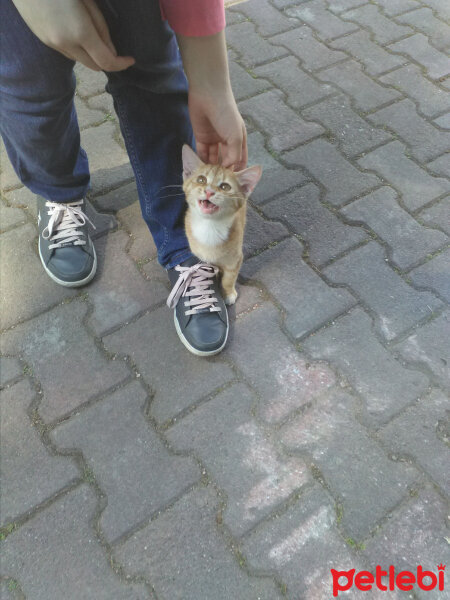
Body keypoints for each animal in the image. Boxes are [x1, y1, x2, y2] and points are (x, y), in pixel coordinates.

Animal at [181, 144, 262, 304]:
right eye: (201, 179)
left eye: (225, 187)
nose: (209, 191)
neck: (209, 227)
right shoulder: (204, 258)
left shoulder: (235, 259)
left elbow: (229, 279)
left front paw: (228, 292)